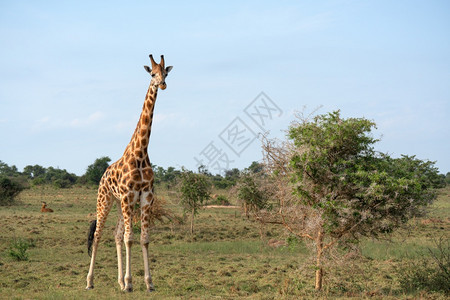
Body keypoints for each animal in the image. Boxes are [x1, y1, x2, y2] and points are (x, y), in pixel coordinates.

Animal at [86, 54, 172, 292]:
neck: (141, 153)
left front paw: (148, 283)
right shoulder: (128, 196)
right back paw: (90, 281)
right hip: (105, 200)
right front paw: (130, 283)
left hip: (118, 203)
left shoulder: (145, 197)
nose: (162, 84)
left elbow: (143, 238)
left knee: (115, 235)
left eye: (166, 73)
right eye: (152, 74)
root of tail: (103, 175)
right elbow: (129, 238)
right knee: (98, 235)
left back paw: (118, 281)